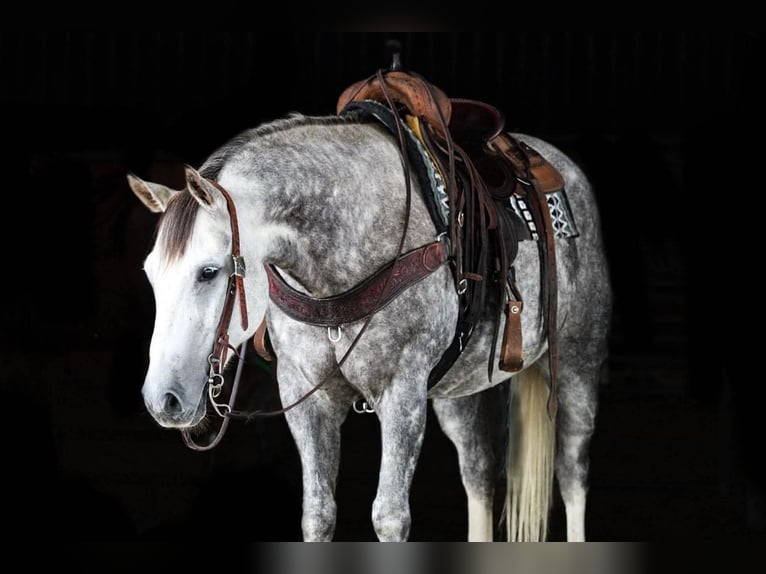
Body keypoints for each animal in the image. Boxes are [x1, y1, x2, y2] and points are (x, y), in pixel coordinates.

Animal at [126, 69, 612, 542]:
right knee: (478, 472)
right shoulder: (306, 393)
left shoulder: (402, 391)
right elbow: (318, 515)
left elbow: (390, 517)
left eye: (209, 271)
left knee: (572, 473)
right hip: (460, 392)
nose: (162, 399)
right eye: (150, 275)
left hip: (577, 362)